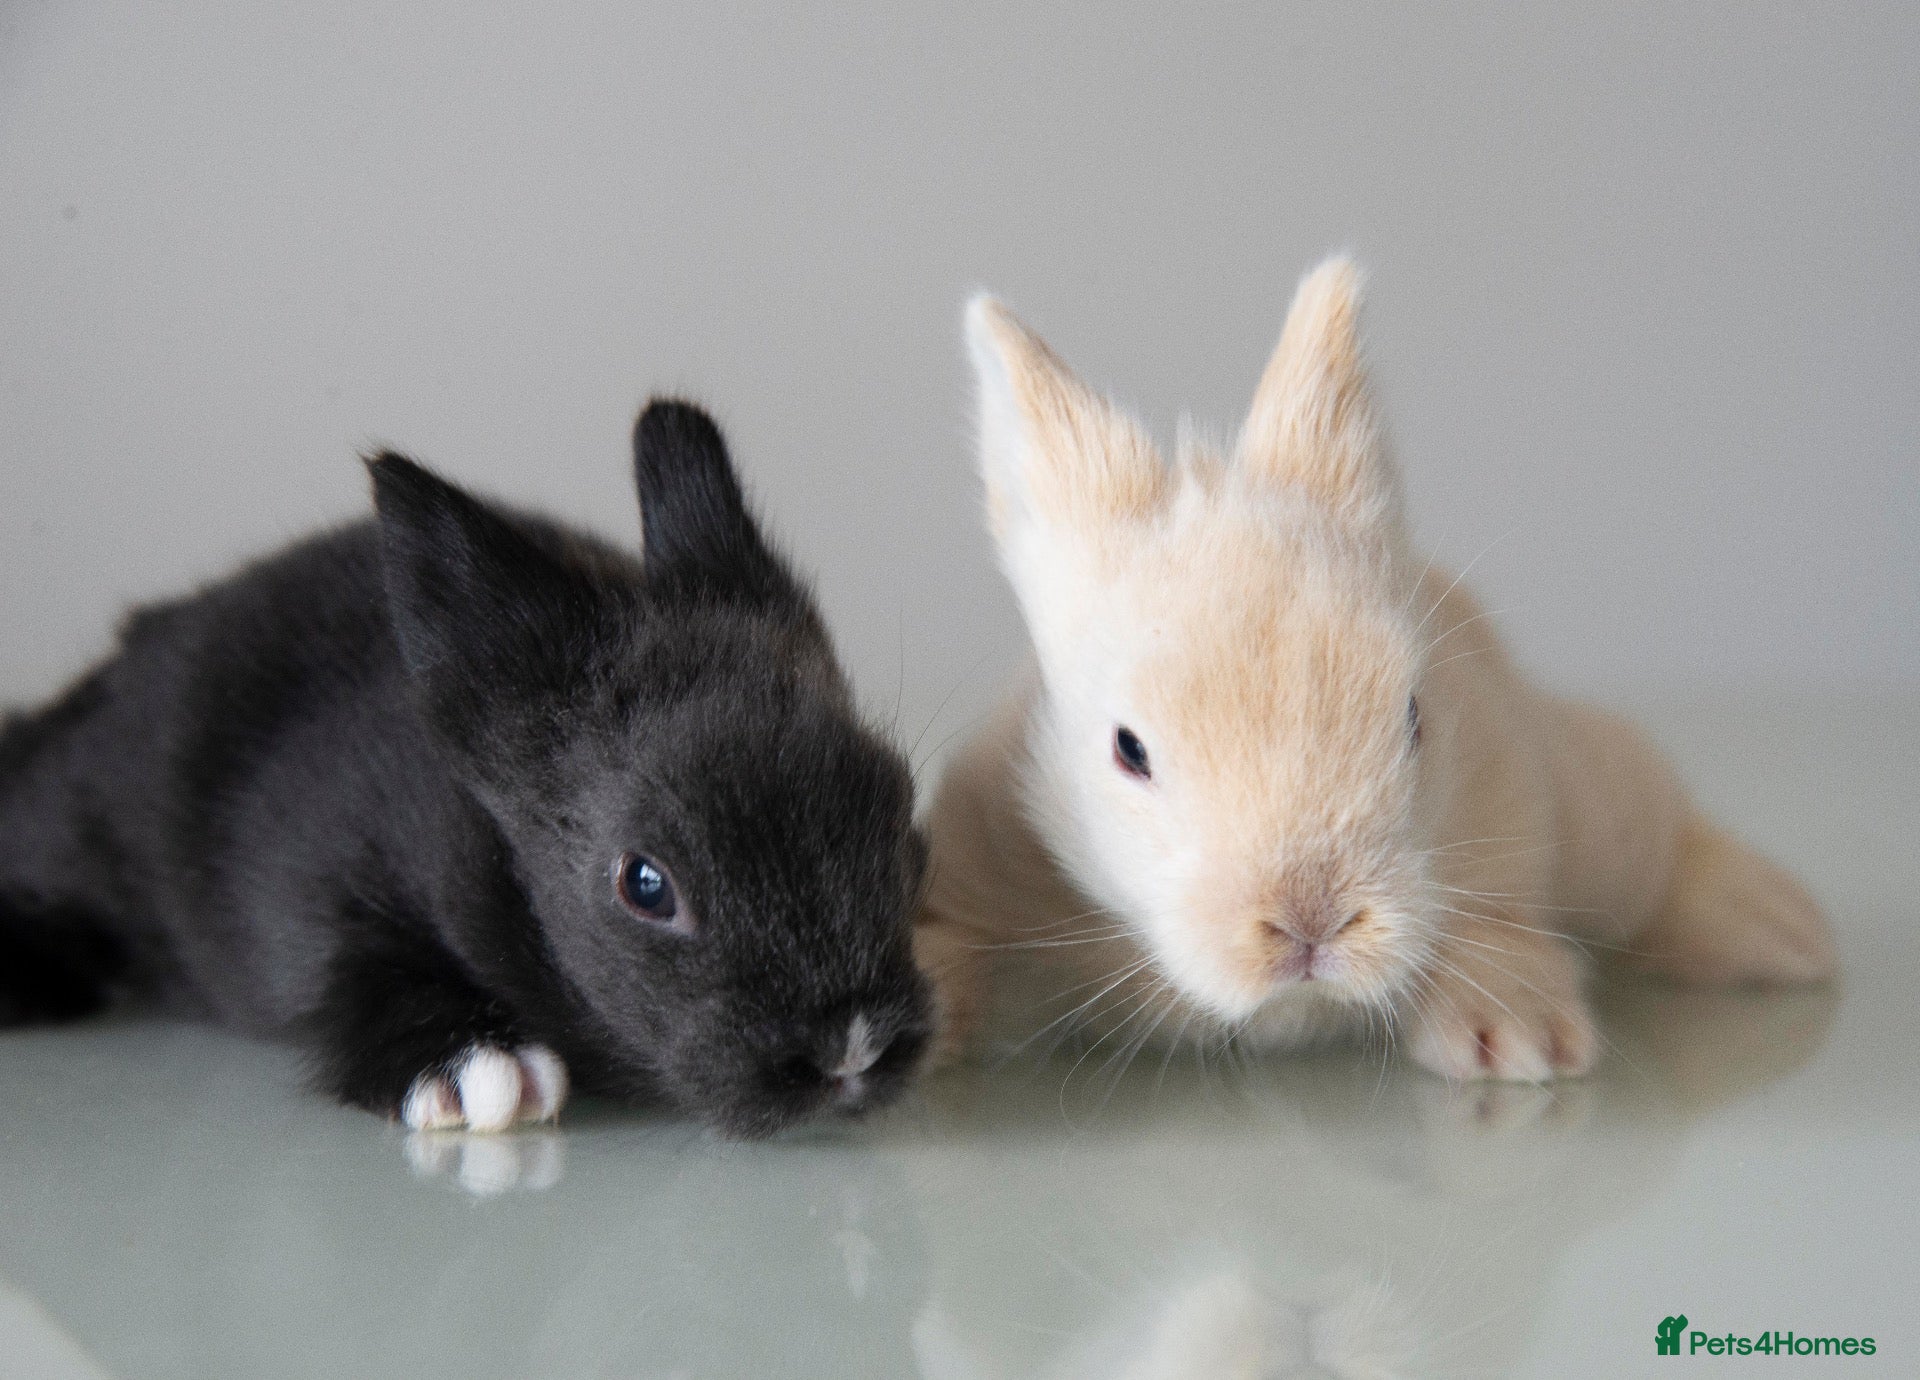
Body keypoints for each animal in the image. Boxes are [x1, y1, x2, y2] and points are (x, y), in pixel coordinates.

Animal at [0, 399, 932, 1136]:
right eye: (645, 883)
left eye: (898, 817)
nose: (850, 1049)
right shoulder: (315, 898)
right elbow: (353, 975)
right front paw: (473, 1070)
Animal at [914, 257, 1835, 1081]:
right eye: (1128, 749)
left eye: (1413, 717)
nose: (1312, 925)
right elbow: (961, 946)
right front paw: (929, 1003)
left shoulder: (1503, 799)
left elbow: (1493, 921)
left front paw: (1516, 1038)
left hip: (1600, 815)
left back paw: (1782, 930)